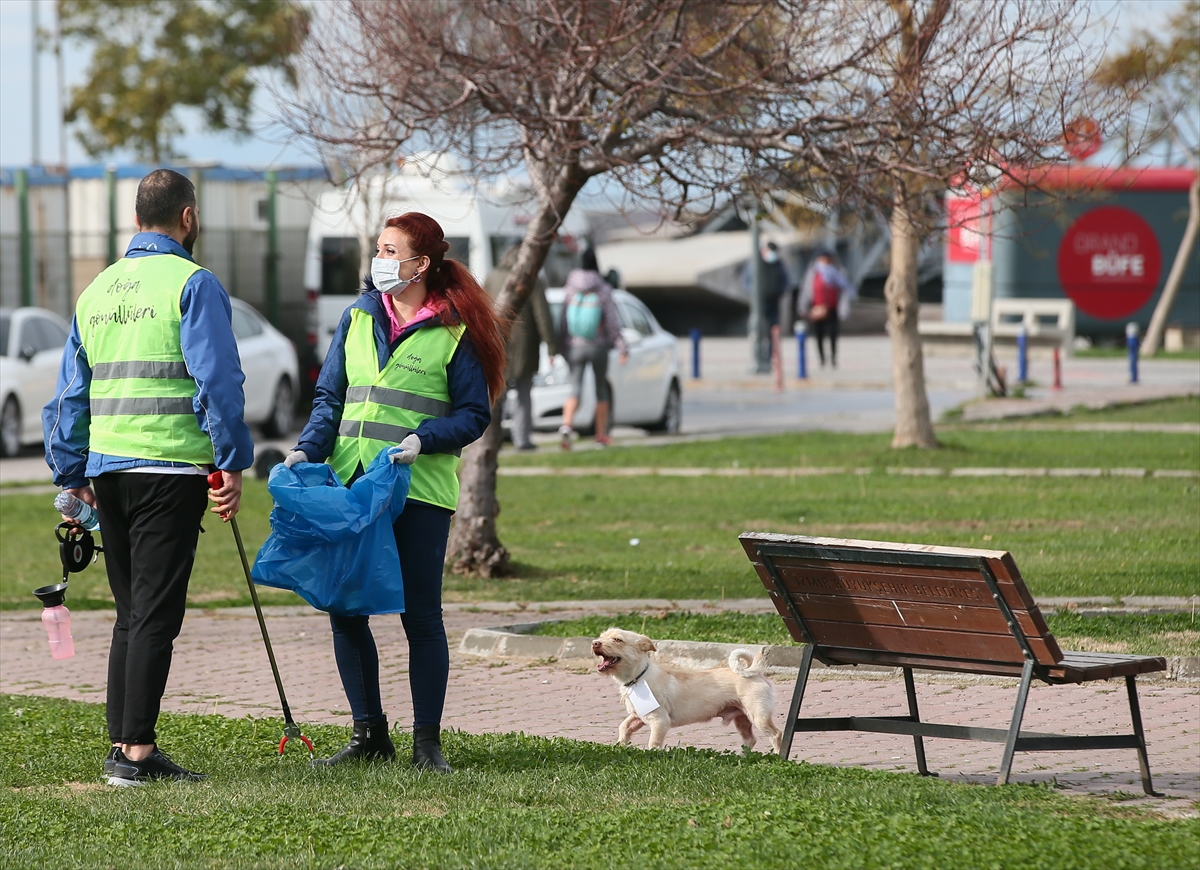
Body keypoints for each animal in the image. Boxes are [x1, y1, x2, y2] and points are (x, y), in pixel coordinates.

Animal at [592, 628, 787, 748]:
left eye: (618, 640)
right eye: (601, 637)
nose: (595, 642)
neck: (638, 677)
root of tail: (756, 674)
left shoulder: (660, 722)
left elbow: (653, 743)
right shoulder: (638, 716)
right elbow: (624, 727)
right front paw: (621, 745)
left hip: (759, 716)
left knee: (776, 735)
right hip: (742, 718)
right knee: (750, 740)